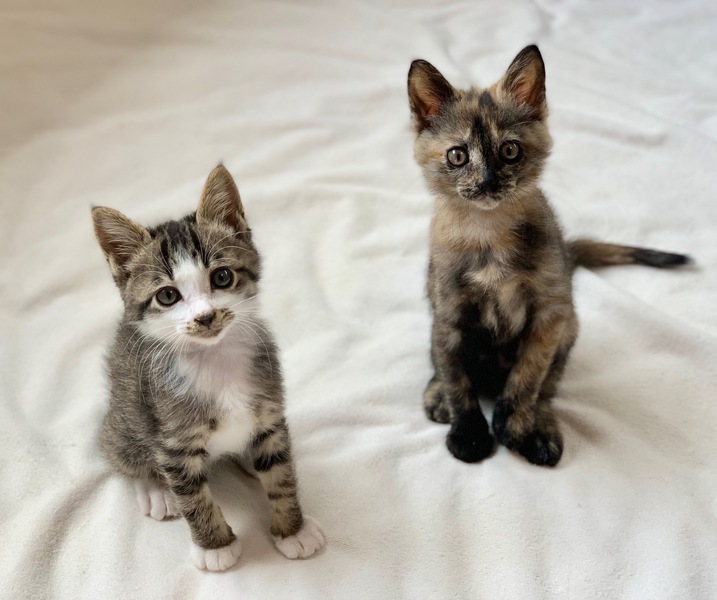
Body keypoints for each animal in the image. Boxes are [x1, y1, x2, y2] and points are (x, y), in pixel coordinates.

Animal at [91, 165, 325, 571]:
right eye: (167, 296)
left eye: (222, 277)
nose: (205, 317)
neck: (215, 358)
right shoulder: (174, 440)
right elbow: (194, 499)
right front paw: (216, 547)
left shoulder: (269, 411)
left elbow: (281, 475)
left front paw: (292, 530)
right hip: (125, 419)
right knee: (122, 454)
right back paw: (156, 490)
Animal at [407, 46, 690, 466]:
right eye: (457, 156)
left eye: (510, 150)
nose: (488, 182)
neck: (489, 232)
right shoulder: (449, 316)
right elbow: (457, 379)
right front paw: (469, 433)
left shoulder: (549, 316)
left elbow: (528, 377)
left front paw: (515, 427)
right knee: (441, 364)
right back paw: (437, 393)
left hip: (569, 327)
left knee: (549, 384)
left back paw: (540, 425)